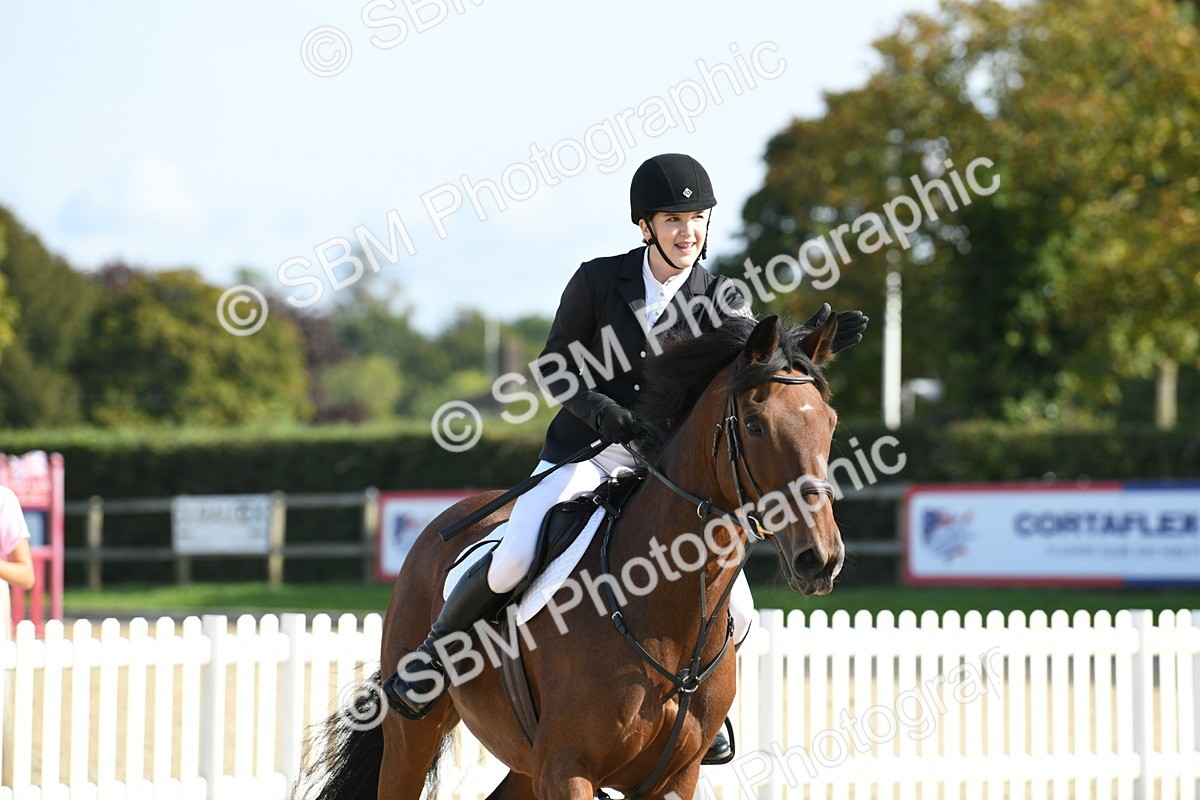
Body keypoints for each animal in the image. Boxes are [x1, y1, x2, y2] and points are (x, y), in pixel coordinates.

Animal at [299, 312, 846, 800]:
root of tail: (444, 520)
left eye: (830, 423)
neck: (662, 612)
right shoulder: (567, 770)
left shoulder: (674, 779)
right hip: (414, 738)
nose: (819, 559)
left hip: (525, 765)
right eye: (754, 425)